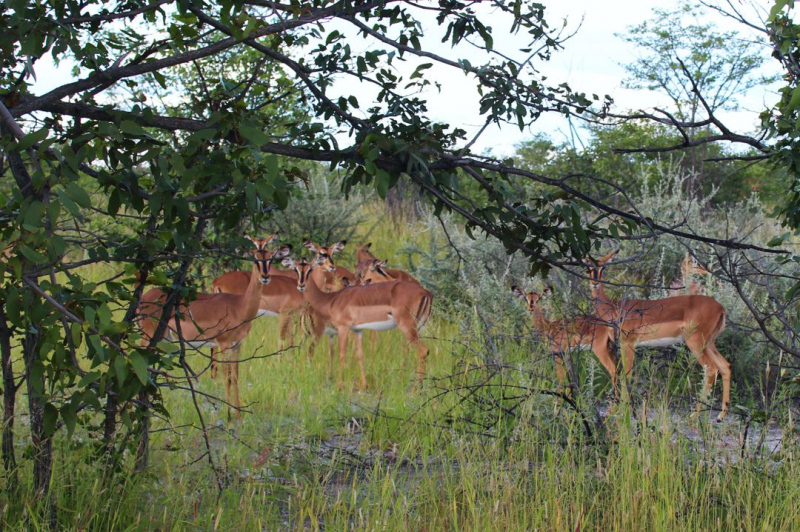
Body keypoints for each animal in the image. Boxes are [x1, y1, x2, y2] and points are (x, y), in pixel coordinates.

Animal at [139, 235, 282, 418]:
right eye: (256, 258)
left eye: (270, 258)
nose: (265, 276)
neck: (240, 307)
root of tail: (143, 297)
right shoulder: (224, 344)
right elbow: (226, 378)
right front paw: (229, 417)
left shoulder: (237, 345)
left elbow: (236, 377)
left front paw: (238, 416)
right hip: (149, 336)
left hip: (163, 339)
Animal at [282, 256, 432, 388]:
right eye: (295, 269)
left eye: (310, 269)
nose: (301, 285)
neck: (331, 299)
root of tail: (425, 292)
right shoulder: (357, 330)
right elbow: (359, 355)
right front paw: (363, 386)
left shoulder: (343, 328)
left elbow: (342, 354)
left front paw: (339, 386)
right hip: (419, 328)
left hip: (407, 327)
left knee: (423, 351)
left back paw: (416, 388)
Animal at [580, 249, 732, 420]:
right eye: (587, 267)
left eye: (603, 268)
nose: (594, 283)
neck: (614, 308)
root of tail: (720, 307)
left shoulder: (628, 344)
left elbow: (627, 375)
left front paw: (624, 412)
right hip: (709, 343)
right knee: (725, 366)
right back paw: (720, 416)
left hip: (696, 343)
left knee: (711, 369)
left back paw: (694, 415)